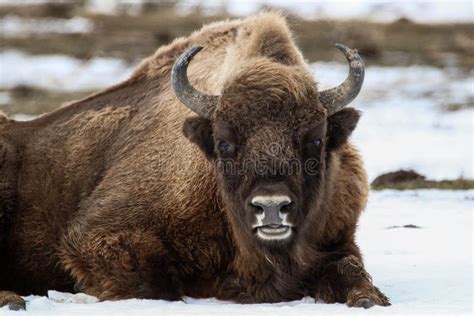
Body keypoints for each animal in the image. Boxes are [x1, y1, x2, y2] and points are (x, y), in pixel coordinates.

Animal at [0, 12, 388, 312]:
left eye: (315, 139)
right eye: (224, 142)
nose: (271, 207)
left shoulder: (339, 237)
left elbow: (351, 269)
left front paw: (370, 298)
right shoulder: (96, 232)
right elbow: (155, 284)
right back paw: (14, 300)